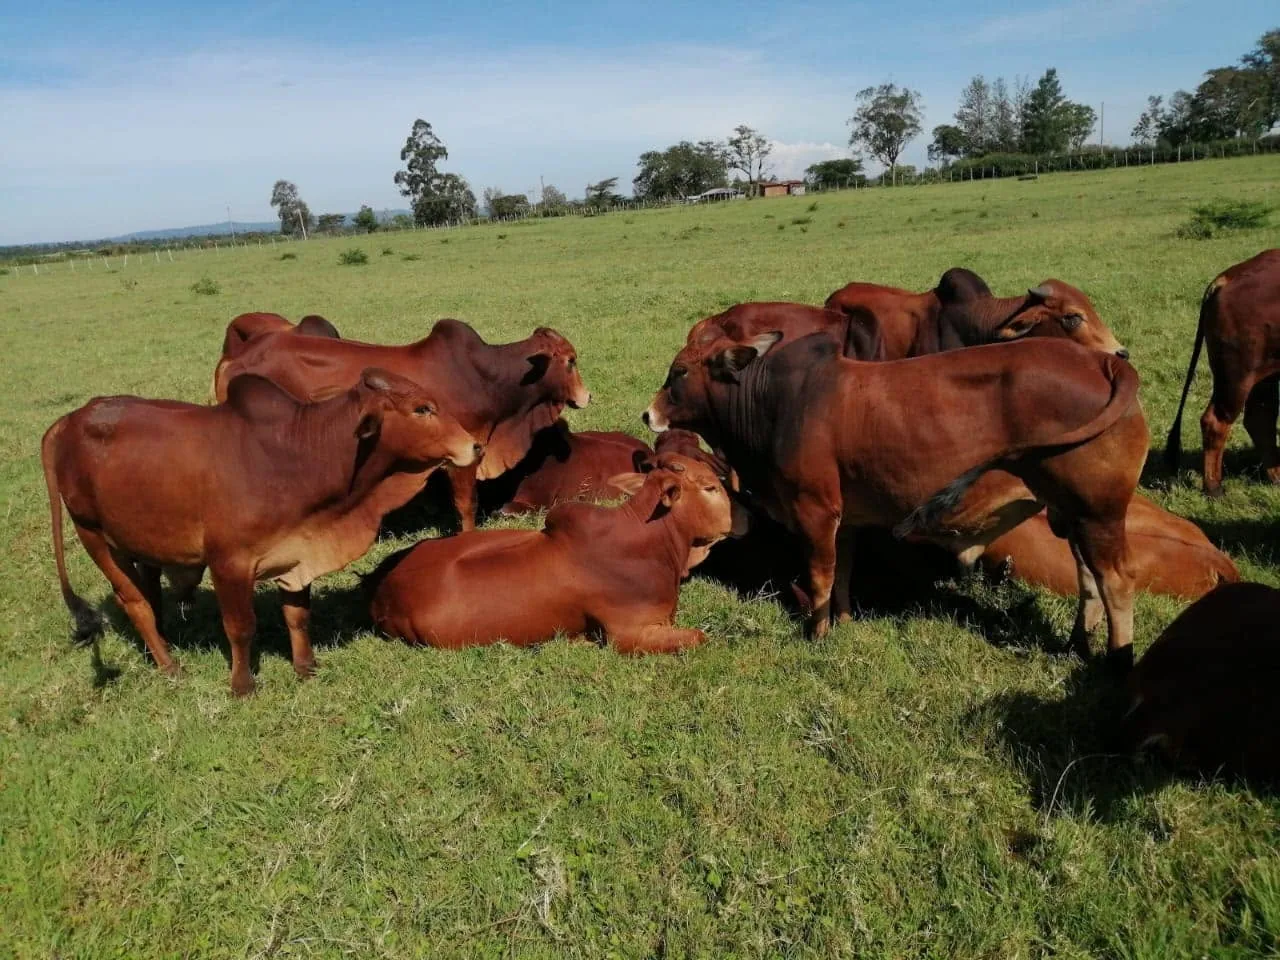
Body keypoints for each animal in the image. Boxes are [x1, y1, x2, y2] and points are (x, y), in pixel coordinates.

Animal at [43, 368, 481, 696]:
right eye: (422, 409)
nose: (475, 446)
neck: (295, 456)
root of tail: (68, 421)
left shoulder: (297, 552)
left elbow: (298, 617)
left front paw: (306, 667)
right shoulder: (229, 563)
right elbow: (241, 627)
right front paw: (243, 686)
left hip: (142, 541)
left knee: (150, 594)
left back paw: (162, 648)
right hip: (93, 535)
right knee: (133, 601)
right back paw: (170, 666)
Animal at [212, 318, 592, 530]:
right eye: (571, 361)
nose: (587, 396)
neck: (487, 378)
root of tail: (235, 357)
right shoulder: (465, 453)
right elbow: (467, 504)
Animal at [367, 453, 733, 653]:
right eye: (710, 488)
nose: (732, 524)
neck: (651, 537)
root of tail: (382, 592)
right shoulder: (630, 634)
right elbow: (700, 636)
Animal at [644, 333, 1147, 664]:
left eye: (680, 372)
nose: (647, 414)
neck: (773, 401)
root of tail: (1104, 364)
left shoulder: (815, 512)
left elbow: (820, 577)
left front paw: (817, 634)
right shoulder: (844, 519)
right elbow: (842, 574)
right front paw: (844, 621)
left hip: (1100, 514)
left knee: (1117, 582)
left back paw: (1117, 663)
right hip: (1073, 515)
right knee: (1089, 580)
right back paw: (1077, 644)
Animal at [1164, 249, 1280, 497]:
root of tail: (1228, 276)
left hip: (1264, 375)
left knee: (1260, 418)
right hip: (1237, 375)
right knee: (1216, 421)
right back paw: (1214, 487)